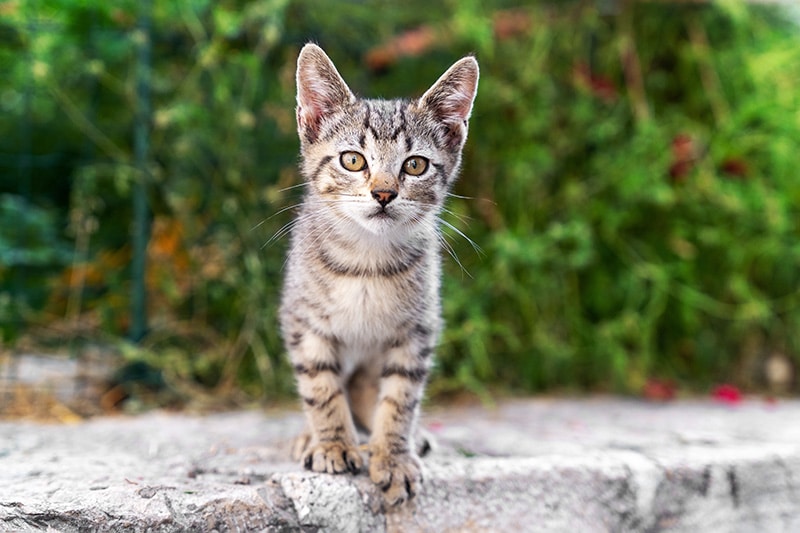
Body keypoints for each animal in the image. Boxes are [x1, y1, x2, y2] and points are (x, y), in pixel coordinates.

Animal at [282, 43, 478, 504]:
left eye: (415, 165)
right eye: (353, 160)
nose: (384, 193)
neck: (367, 261)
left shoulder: (416, 332)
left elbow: (400, 399)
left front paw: (392, 455)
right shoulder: (303, 321)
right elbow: (320, 387)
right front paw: (333, 444)